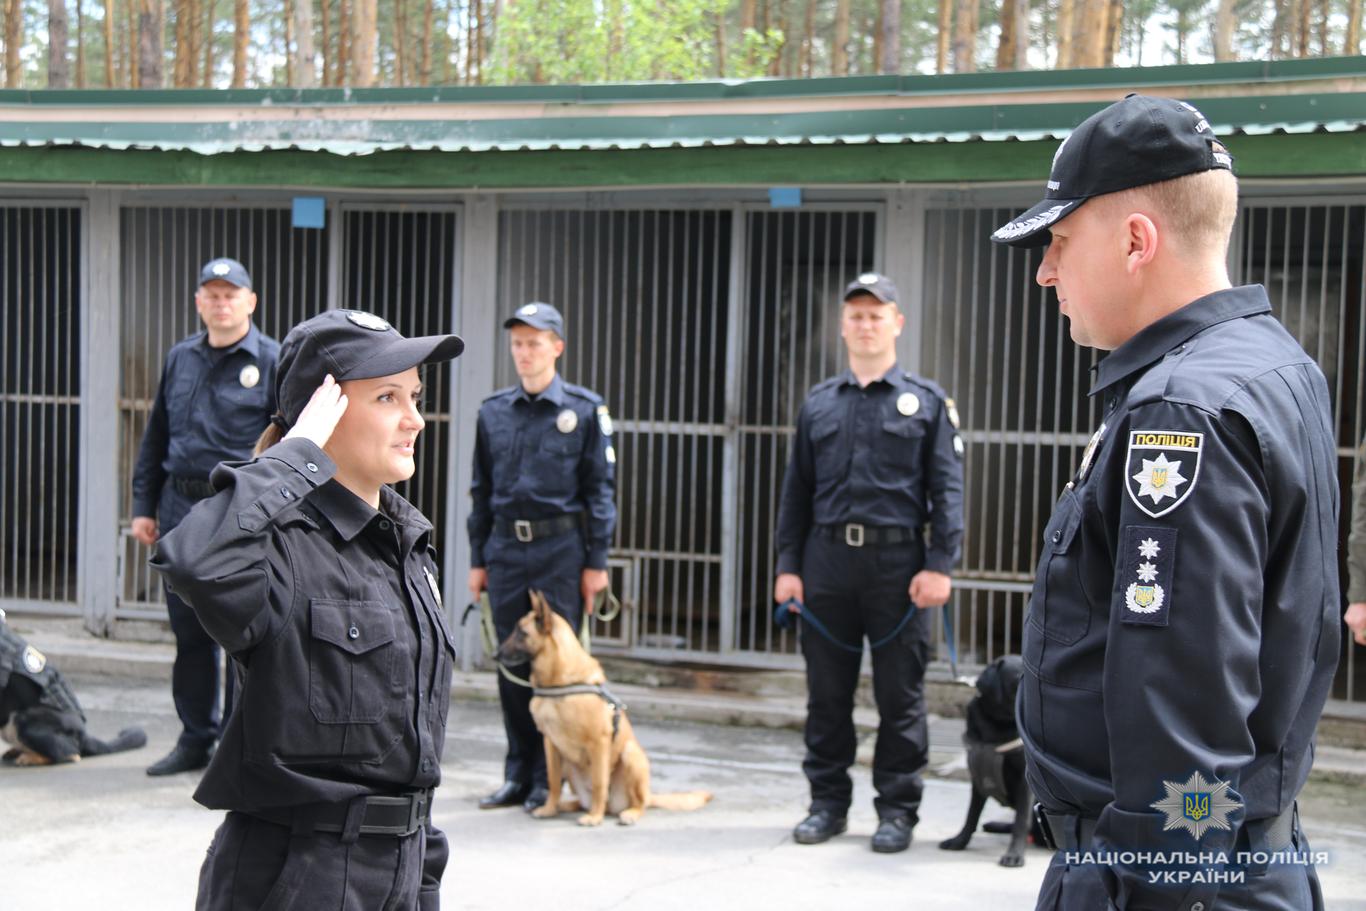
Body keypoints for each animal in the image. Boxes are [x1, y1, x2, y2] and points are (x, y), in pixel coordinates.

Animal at [499, 592, 715, 824]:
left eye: (521, 633)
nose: (495, 654)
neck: (559, 683)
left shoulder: (599, 742)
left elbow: (599, 783)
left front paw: (595, 817)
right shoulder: (551, 744)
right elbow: (553, 781)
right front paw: (549, 808)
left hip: (631, 755)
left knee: (638, 802)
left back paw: (626, 813)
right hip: (570, 766)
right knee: (579, 800)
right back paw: (565, 806)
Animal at [939, 655, 1032, 868]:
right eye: (1018, 677)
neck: (997, 725)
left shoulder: (1025, 784)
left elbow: (1022, 820)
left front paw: (1014, 854)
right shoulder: (978, 778)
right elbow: (971, 815)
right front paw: (959, 841)